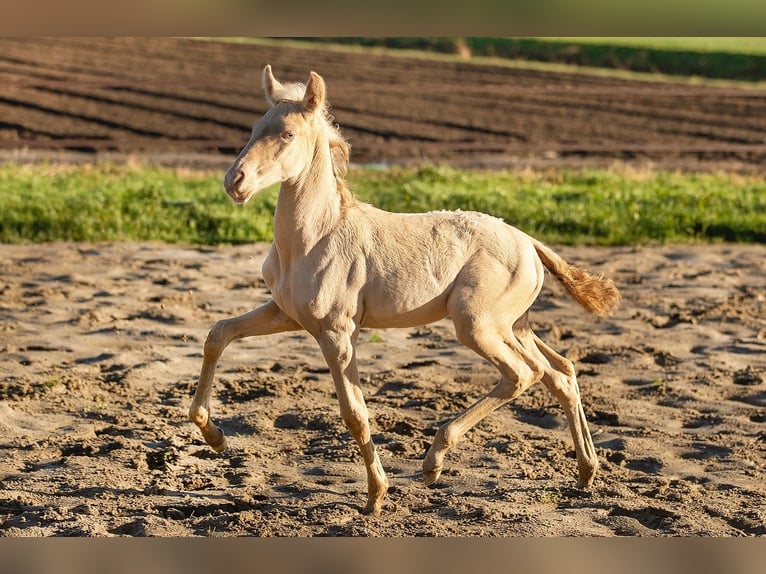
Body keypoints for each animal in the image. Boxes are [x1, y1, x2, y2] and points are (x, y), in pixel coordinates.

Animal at [190, 65, 624, 520]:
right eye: (255, 129)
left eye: (287, 134)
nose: (234, 182)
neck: (315, 237)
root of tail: (528, 240)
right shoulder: (285, 313)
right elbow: (218, 333)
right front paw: (215, 436)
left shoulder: (337, 333)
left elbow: (355, 413)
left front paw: (376, 495)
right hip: (513, 325)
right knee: (560, 372)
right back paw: (586, 472)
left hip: (476, 324)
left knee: (523, 374)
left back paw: (434, 462)